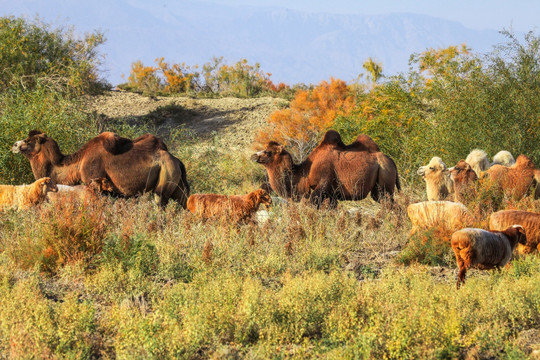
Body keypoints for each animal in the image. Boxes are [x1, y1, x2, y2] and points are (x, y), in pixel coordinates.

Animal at [12, 131, 190, 207]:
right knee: (185, 202)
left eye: (28, 140)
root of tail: (177, 160)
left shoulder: (98, 187)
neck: (78, 164)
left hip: (165, 178)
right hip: (177, 182)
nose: (14, 144)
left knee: (160, 201)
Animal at [251, 131, 398, 207]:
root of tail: (391, 161)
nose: (254, 156)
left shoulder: (322, 185)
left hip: (385, 177)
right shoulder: (331, 195)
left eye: (268, 152)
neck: (306, 172)